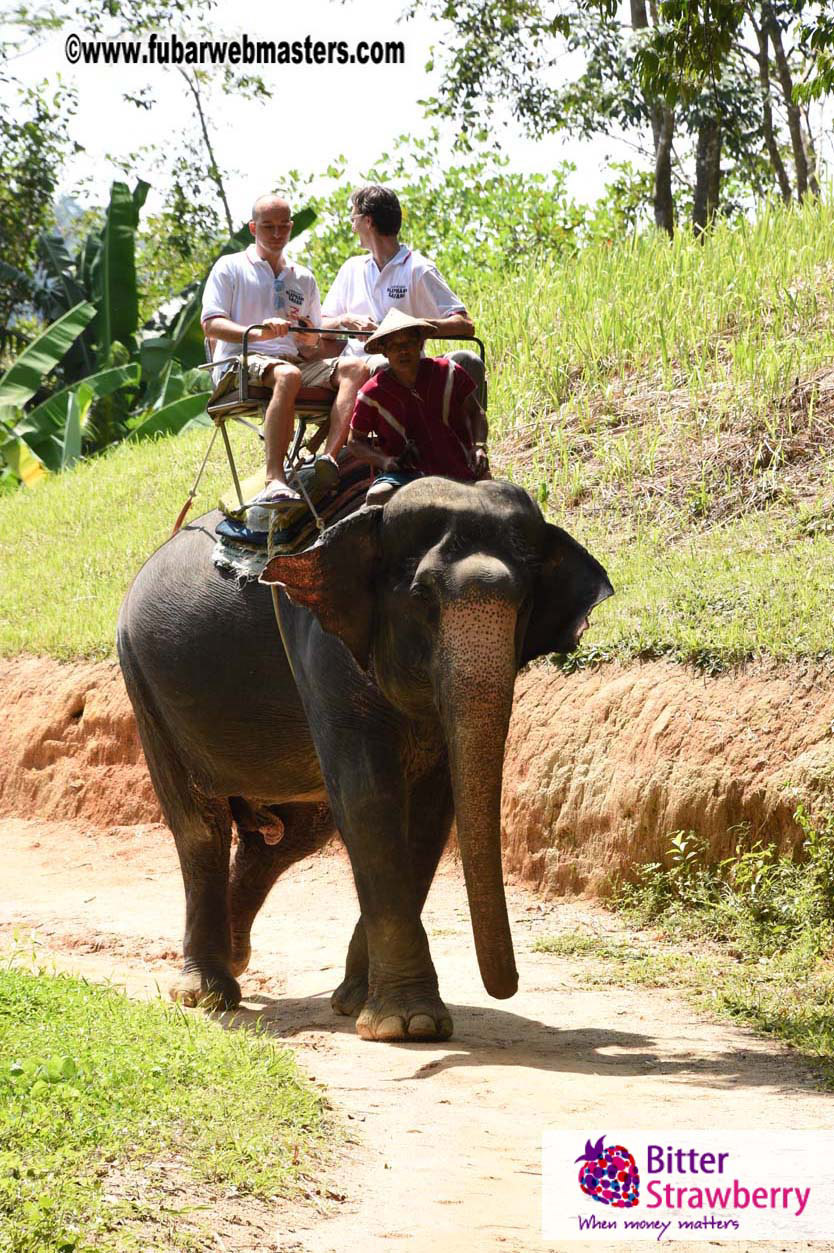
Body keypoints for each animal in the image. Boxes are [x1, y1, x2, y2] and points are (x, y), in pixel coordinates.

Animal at [117, 476, 612, 1042]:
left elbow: (430, 812)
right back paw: (206, 993)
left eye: (526, 602)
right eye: (421, 596)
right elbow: (369, 799)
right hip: (144, 684)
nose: (506, 988)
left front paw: (360, 1004)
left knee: (289, 839)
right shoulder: (322, 648)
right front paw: (408, 1025)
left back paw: (237, 955)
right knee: (201, 828)